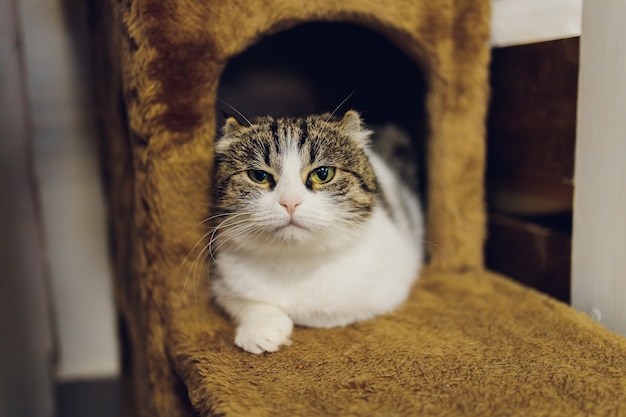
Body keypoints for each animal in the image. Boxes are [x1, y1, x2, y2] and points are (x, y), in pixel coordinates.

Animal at [207, 109, 422, 352]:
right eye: (259, 176)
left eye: (323, 174)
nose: (290, 202)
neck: (294, 261)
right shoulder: (225, 277)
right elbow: (243, 300)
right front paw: (262, 328)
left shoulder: (387, 286)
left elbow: (327, 312)